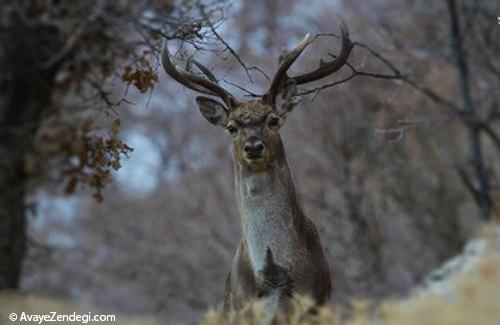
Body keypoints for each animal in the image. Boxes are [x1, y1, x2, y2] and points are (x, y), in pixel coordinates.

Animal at [162, 25, 354, 312]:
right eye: (232, 127)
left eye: (273, 120)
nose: (253, 147)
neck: (273, 279)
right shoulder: (240, 308)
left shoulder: (315, 301)